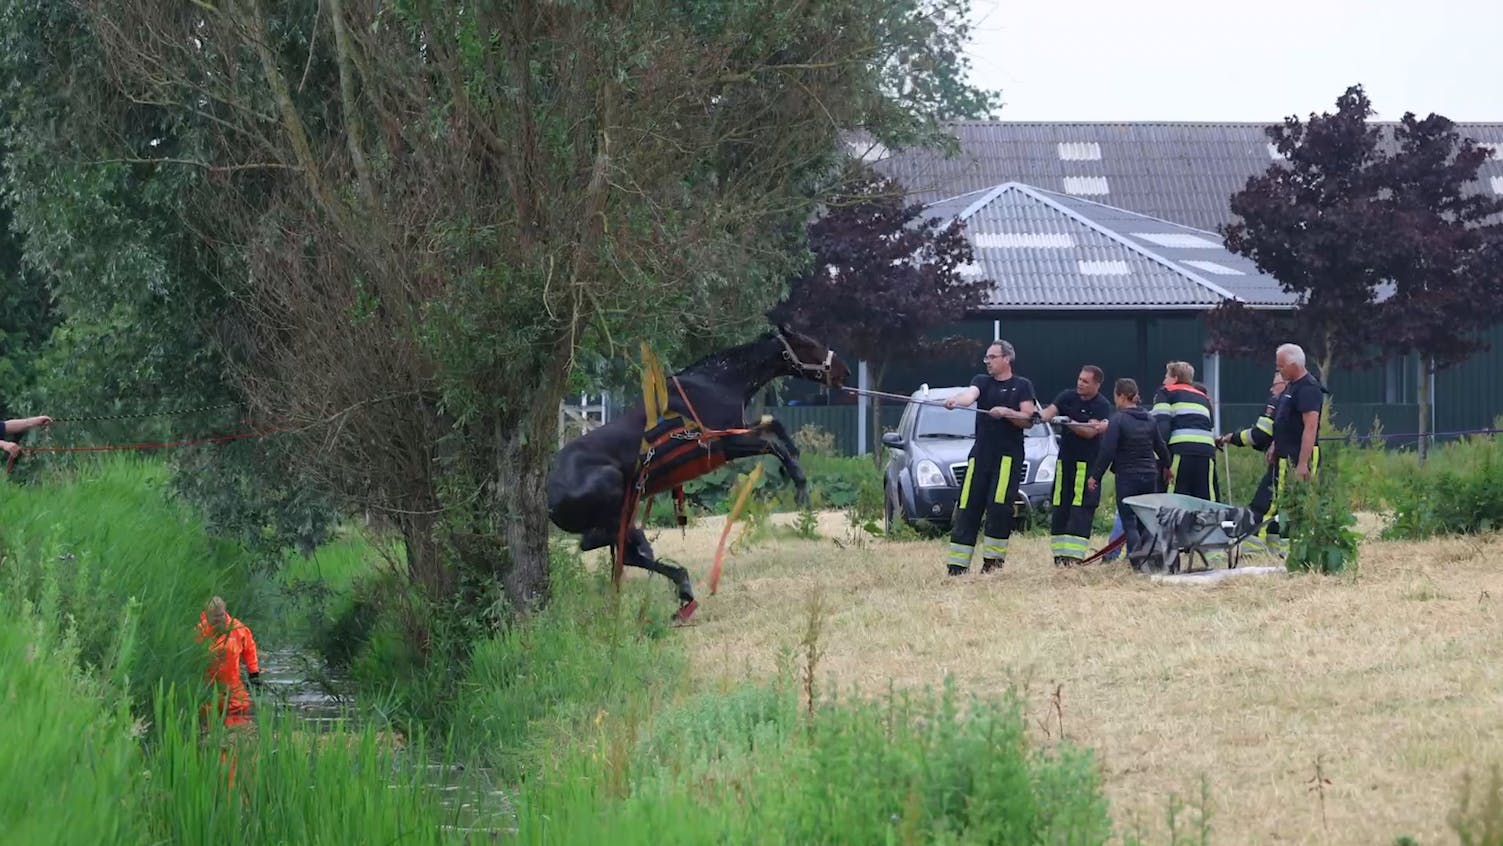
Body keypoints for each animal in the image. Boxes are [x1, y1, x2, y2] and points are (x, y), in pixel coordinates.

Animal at [547, 327, 847, 619]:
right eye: (810, 344)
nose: (844, 372)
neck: (716, 384)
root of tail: (550, 498)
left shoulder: (736, 431)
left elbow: (774, 426)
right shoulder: (723, 444)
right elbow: (772, 442)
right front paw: (800, 486)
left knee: (620, 550)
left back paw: (682, 589)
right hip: (614, 492)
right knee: (602, 543)